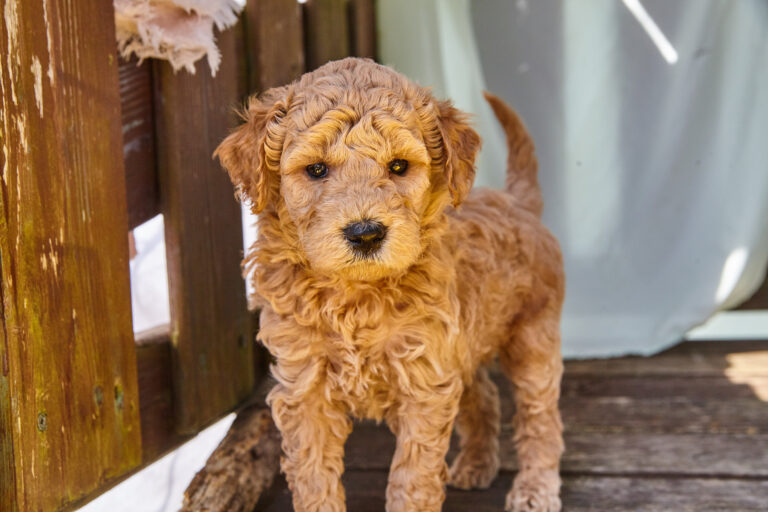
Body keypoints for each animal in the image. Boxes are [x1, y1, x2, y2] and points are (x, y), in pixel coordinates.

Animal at [216, 57, 564, 512]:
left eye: (398, 166)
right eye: (316, 169)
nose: (365, 234)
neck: (356, 297)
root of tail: (517, 203)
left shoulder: (424, 382)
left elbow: (412, 479)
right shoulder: (305, 386)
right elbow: (313, 476)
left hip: (533, 339)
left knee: (541, 418)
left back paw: (534, 489)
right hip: (465, 345)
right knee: (483, 396)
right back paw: (475, 464)